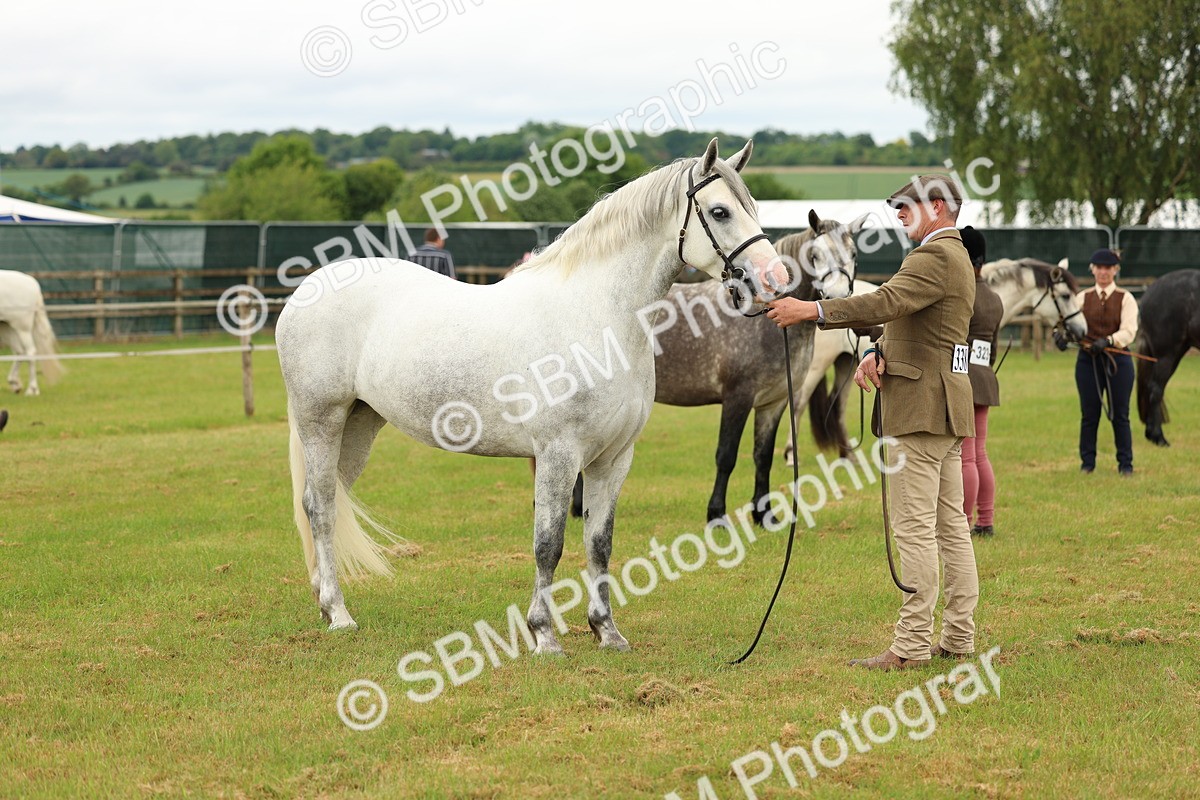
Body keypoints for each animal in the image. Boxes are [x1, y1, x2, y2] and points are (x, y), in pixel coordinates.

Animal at [276, 139, 782, 652]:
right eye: (719, 211)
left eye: (754, 208)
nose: (775, 278)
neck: (597, 317)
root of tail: (307, 290)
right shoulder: (558, 454)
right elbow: (549, 544)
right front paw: (544, 636)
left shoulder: (614, 458)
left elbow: (599, 543)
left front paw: (607, 631)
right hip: (322, 420)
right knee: (320, 507)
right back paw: (339, 614)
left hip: (359, 424)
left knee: (330, 503)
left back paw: (326, 601)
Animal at [651, 210, 865, 523]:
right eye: (815, 255)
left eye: (853, 253)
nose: (836, 295)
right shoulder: (737, 398)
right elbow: (726, 456)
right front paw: (716, 516)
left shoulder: (773, 402)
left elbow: (762, 457)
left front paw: (764, 515)